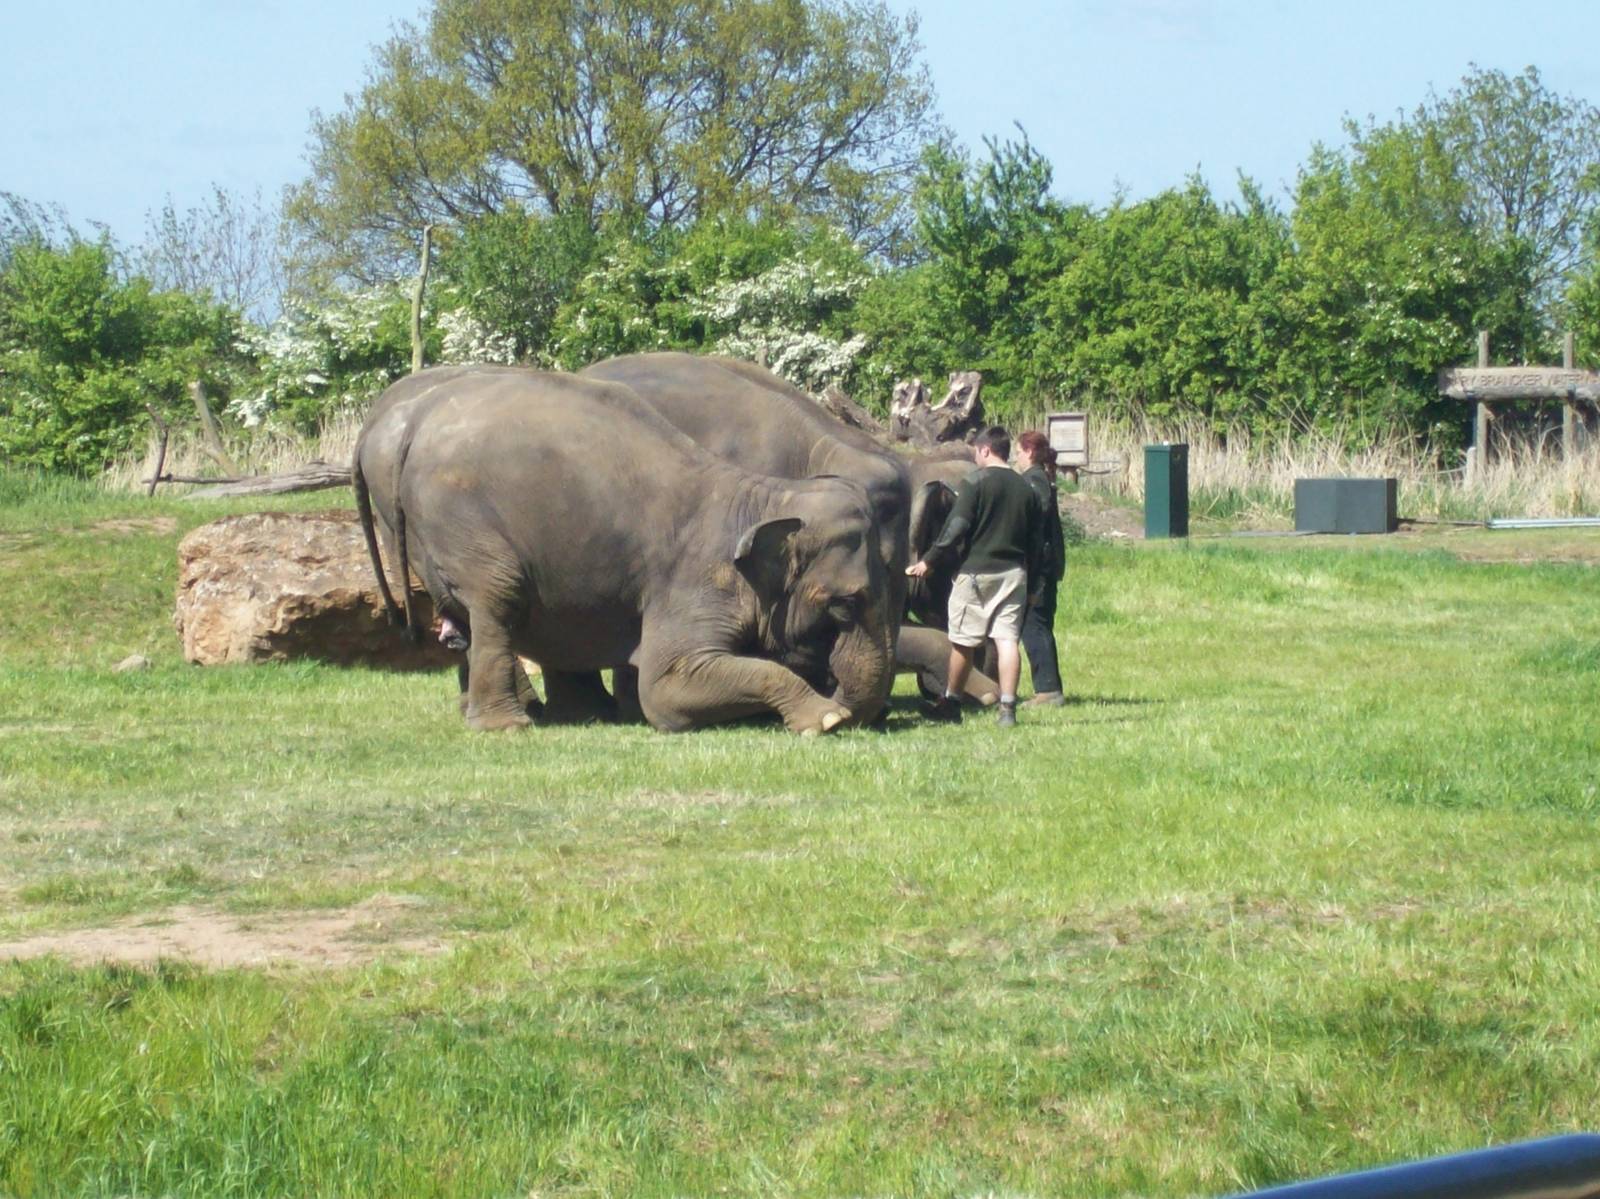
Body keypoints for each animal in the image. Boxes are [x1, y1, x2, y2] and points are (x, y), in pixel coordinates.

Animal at [352, 366, 895, 734]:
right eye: (844, 605)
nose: (855, 708)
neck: (764, 498)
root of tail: (414, 422)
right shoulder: (693, 581)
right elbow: (667, 688)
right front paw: (825, 719)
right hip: (459, 518)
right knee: (497, 597)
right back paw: (509, 726)